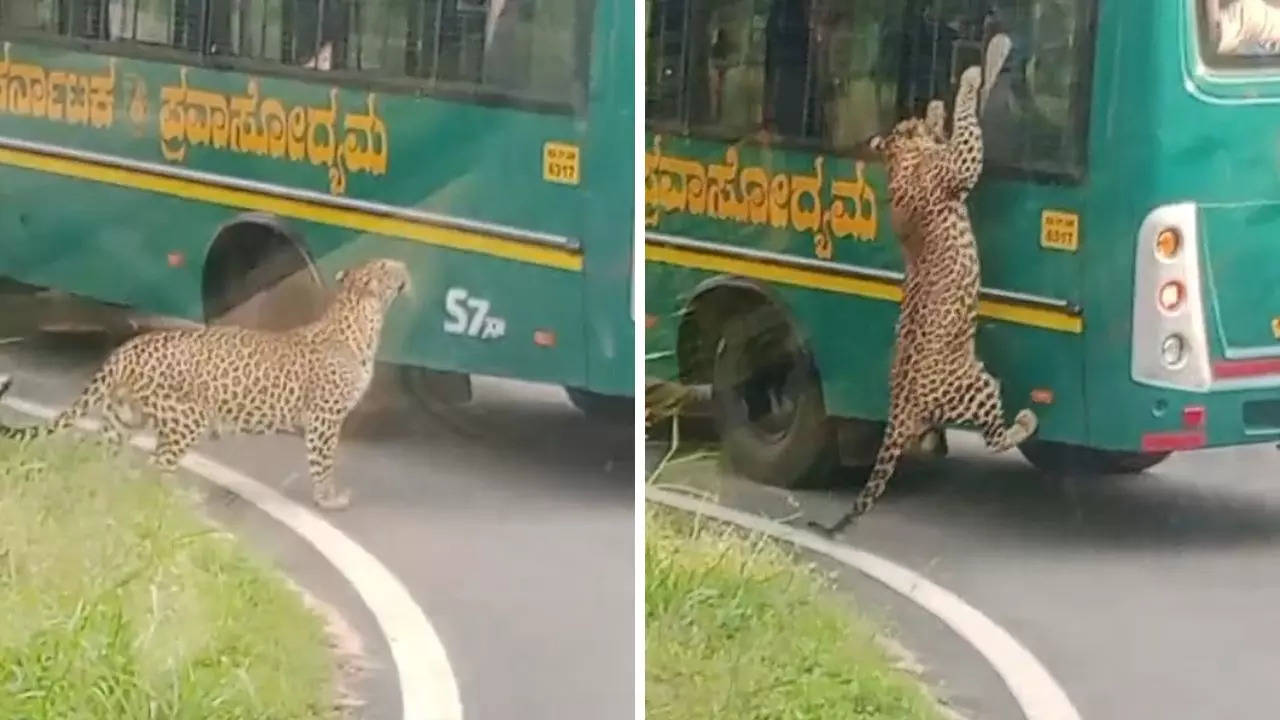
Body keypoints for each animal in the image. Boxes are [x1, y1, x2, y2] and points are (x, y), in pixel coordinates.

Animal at [0, 254, 409, 507]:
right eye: (386, 265)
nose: (405, 267)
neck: (362, 317)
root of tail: (127, 348)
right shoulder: (325, 418)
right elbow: (323, 463)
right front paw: (329, 499)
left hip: (122, 417)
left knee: (99, 455)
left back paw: (104, 491)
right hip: (185, 419)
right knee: (158, 465)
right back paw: (169, 504)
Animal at [814, 67, 1034, 535]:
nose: (915, 108)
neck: (899, 165)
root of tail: (898, 410)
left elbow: (947, 130)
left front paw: (936, 109)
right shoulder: (960, 163)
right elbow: (966, 127)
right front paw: (967, 81)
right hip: (976, 386)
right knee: (994, 440)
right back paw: (1027, 420)